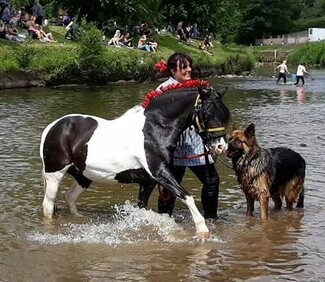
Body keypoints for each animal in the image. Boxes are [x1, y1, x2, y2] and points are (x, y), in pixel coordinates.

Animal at [39, 79, 229, 238]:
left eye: (224, 114)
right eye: (207, 114)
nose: (221, 146)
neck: (154, 128)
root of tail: (52, 127)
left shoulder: (148, 181)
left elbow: (143, 208)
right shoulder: (159, 173)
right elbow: (186, 195)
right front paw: (202, 230)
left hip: (83, 176)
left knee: (69, 197)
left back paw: (80, 218)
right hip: (55, 174)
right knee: (48, 205)